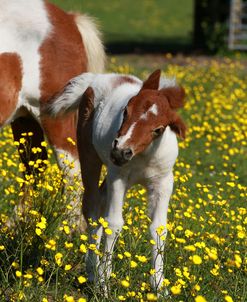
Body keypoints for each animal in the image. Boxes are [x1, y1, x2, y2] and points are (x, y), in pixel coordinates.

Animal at [0, 0, 105, 226]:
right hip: (24, 117)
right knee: (34, 167)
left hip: (55, 116)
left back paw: (68, 229)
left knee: (72, 170)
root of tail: (68, 20)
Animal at [45, 69, 186, 292]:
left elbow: (159, 229)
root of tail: (96, 78)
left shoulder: (163, 183)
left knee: (101, 202)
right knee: (92, 209)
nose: (120, 151)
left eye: (158, 129)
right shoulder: (118, 177)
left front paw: (159, 286)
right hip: (90, 156)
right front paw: (103, 284)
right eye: (126, 111)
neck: (143, 156)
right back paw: (92, 272)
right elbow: (114, 223)